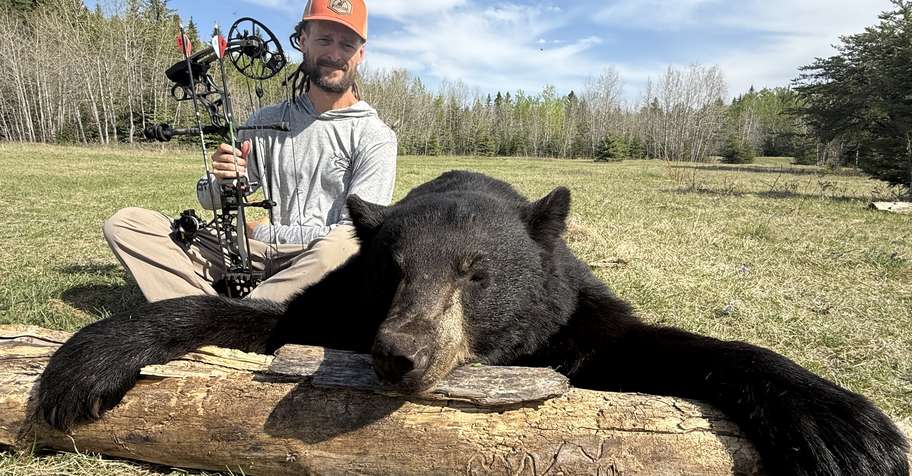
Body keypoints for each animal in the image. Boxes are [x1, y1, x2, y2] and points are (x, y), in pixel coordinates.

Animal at [37, 170, 908, 475]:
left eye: (474, 273)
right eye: (393, 271)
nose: (400, 355)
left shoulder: (574, 319)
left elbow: (665, 346)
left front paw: (848, 431)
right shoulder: (336, 303)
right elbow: (258, 319)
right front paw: (84, 366)